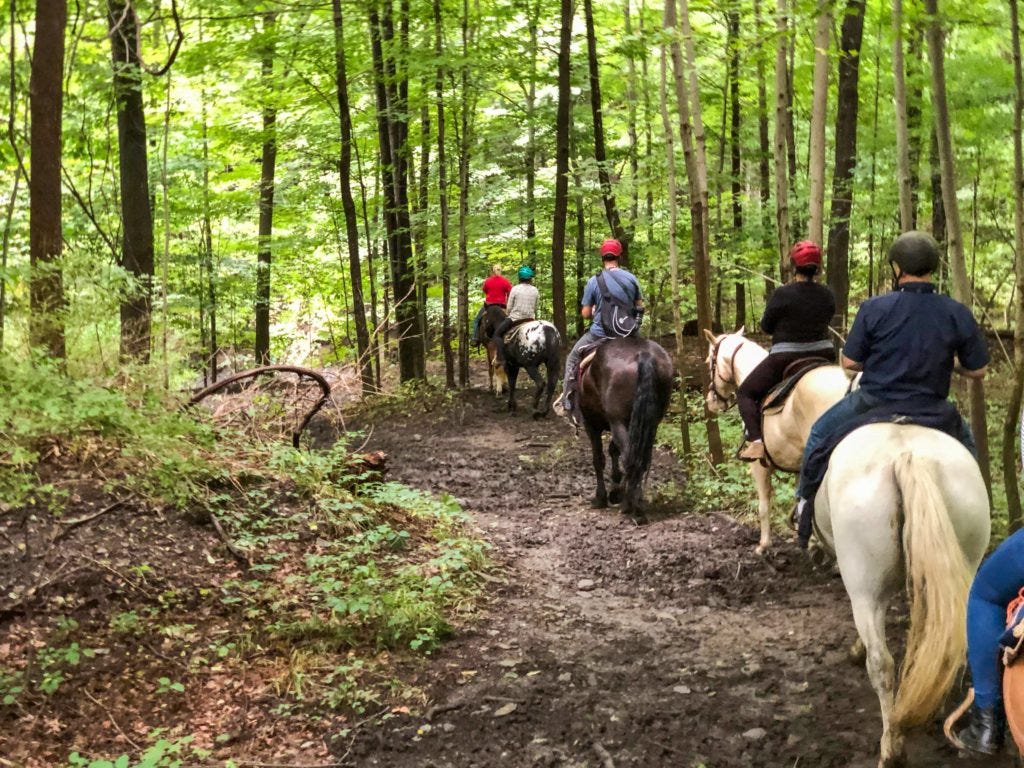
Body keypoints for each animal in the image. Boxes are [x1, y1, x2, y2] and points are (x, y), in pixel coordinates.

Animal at [581, 337, 675, 524]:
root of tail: (643, 354)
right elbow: (613, 450)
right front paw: (616, 488)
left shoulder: (591, 424)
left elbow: (598, 459)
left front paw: (601, 498)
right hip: (650, 422)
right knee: (641, 458)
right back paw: (632, 502)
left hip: (617, 421)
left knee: (629, 456)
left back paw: (631, 507)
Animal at [704, 329, 847, 552]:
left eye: (709, 360)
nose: (710, 401)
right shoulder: (800, 467)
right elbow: (801, 502)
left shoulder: (759, 464)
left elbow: (764, 505)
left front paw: (764, 545)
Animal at [811, 423, 987, 765]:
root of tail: (909, 456)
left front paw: (856, 650)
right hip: (966, 567)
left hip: (865, 590)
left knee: (882, 663)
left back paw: (891, 749)